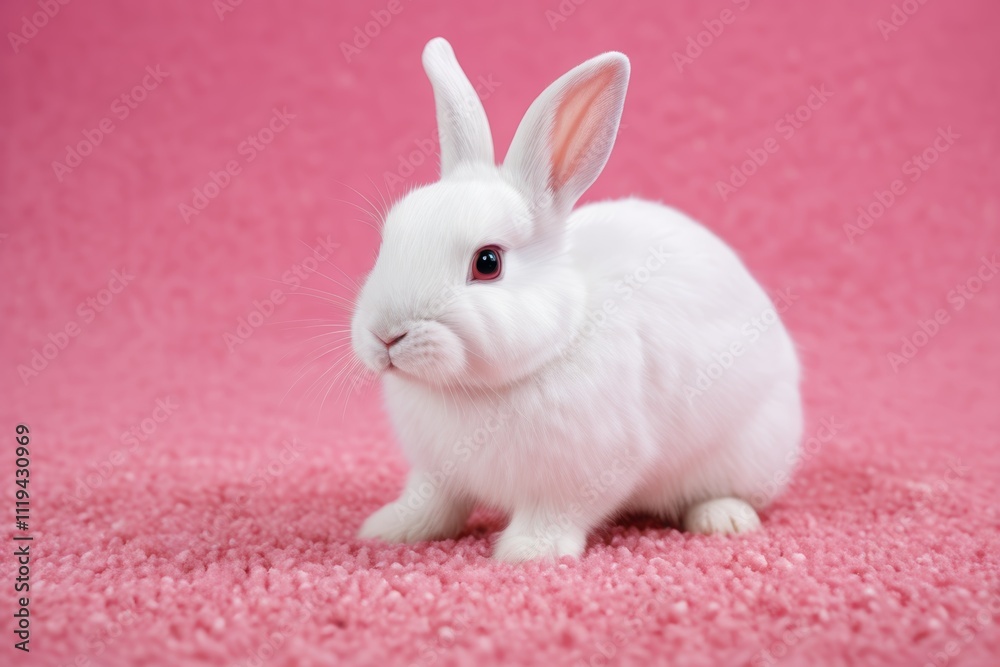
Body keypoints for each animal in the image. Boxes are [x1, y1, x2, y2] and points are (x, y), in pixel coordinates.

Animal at [351, 37, 802, 562]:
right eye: (386, 241)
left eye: (488, 262)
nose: (386, 335)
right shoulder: (436, 472)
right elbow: (433, 503)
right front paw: (390, 529)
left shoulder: (583, 472)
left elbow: (554, 514)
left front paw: (528, 552)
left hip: (746, 449)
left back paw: (724, 520)